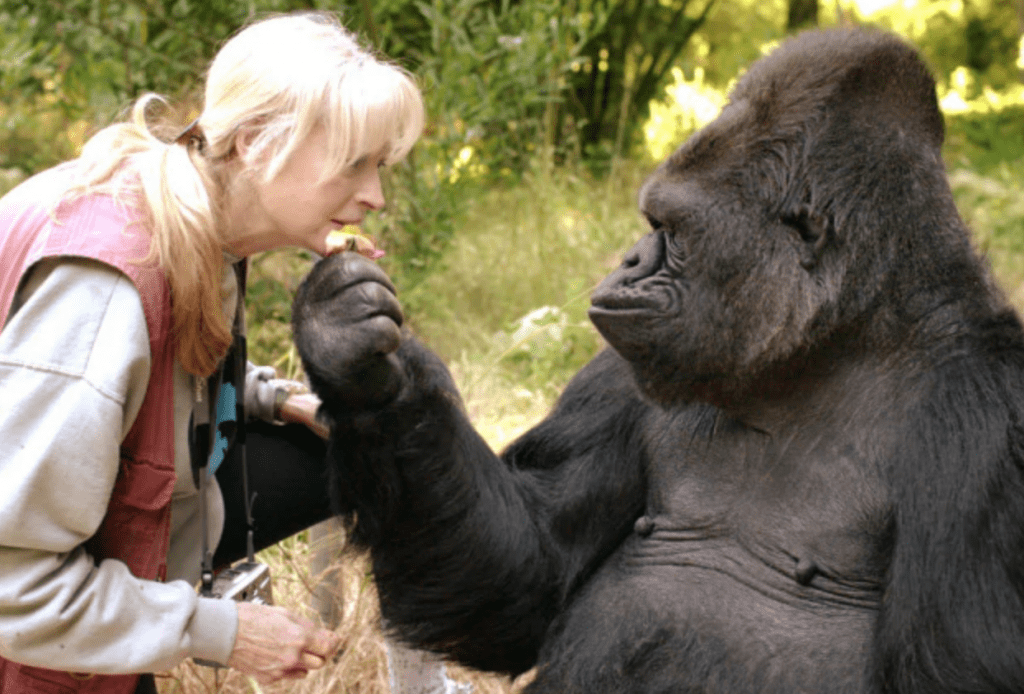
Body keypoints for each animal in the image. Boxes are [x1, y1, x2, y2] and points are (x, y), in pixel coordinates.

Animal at [292, 27, 1024, 694]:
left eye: (670, 230)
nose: (629, 261)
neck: (832, 344)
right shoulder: (621, 373)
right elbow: (527, 573)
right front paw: (359, 365)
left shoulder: (990, 421)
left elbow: (960, 667)